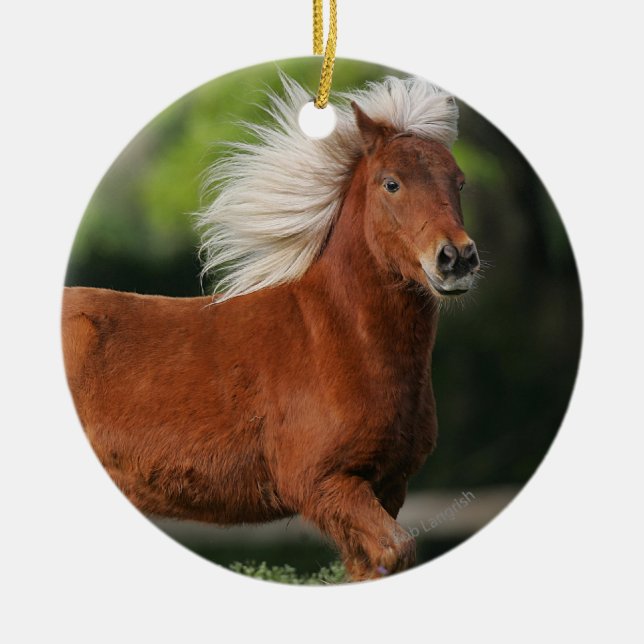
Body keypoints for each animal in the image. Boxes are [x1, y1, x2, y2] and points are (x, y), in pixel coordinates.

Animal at [62, 75, 481, 581]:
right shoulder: (324, 484)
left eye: (459, 181)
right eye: (391, 183)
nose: (457, 259)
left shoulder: (387, 486)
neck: (335, 340)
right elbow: (395, 550)